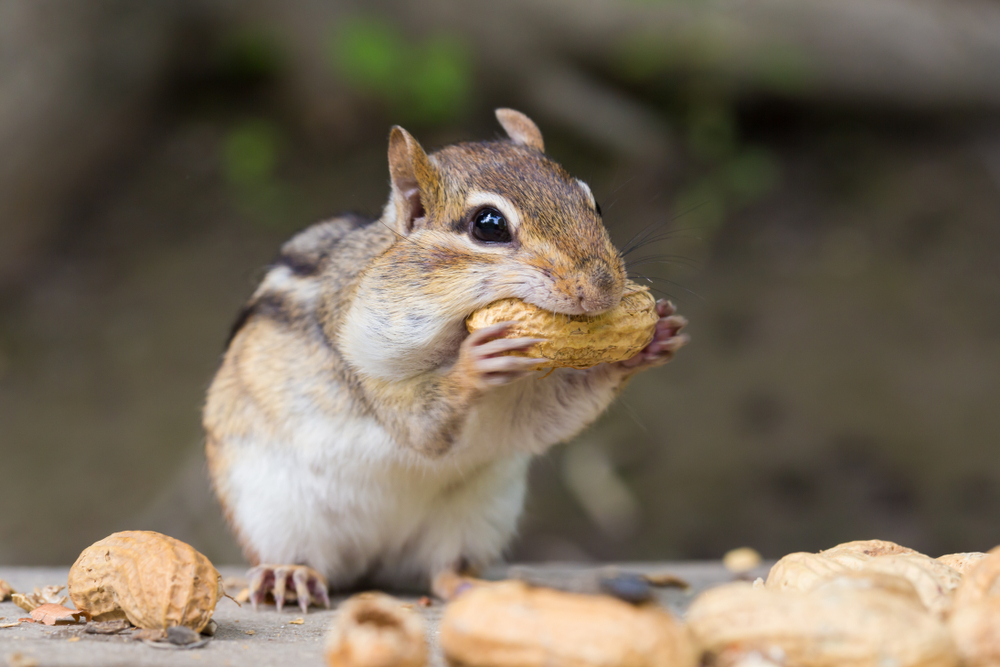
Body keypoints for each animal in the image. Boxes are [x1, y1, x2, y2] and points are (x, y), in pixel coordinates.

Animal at [203, 109, 689, 611]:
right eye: (489, 225)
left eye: (595, 205)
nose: (603, 289)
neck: (456, 335)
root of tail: (372, 565)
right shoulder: (362, 358)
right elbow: (417, 425)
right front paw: (473, 366)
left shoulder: (520, 407)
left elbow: (546, 419)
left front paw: (652, 339)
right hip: (271, 511)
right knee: (302, 557)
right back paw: (289, 573)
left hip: (474, 519)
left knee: (443, 572)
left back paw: (477, 589)